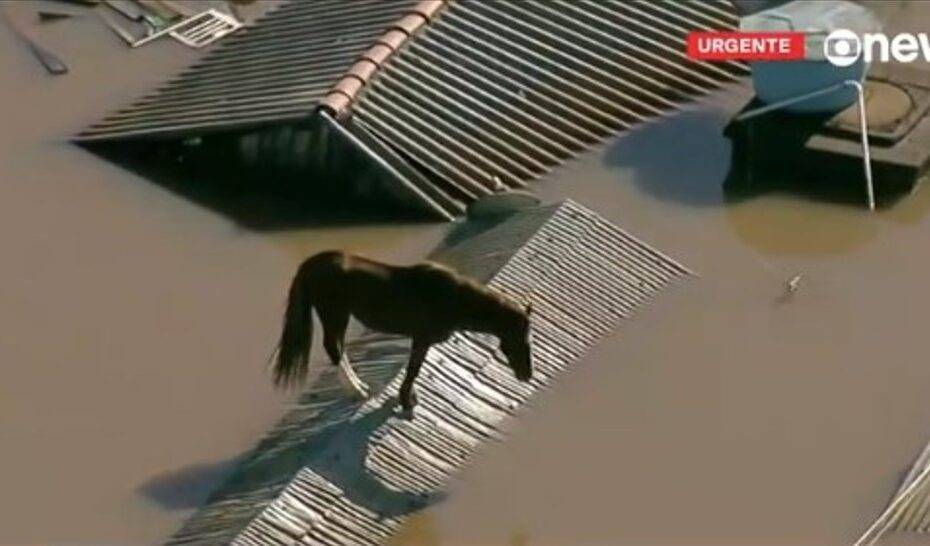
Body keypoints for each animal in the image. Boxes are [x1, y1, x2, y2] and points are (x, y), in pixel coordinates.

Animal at [270, 250, 528, 412]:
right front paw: (406, 402)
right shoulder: (422, 338)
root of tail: (311, 264)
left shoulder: (421, 339)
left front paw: (407, 399)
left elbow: (413, 369)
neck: (453, 298)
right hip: (335, 314)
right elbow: (414, 370)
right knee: (334, 349)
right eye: (519, 337)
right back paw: (358, 392)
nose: (527, 375)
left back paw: (361, 388)